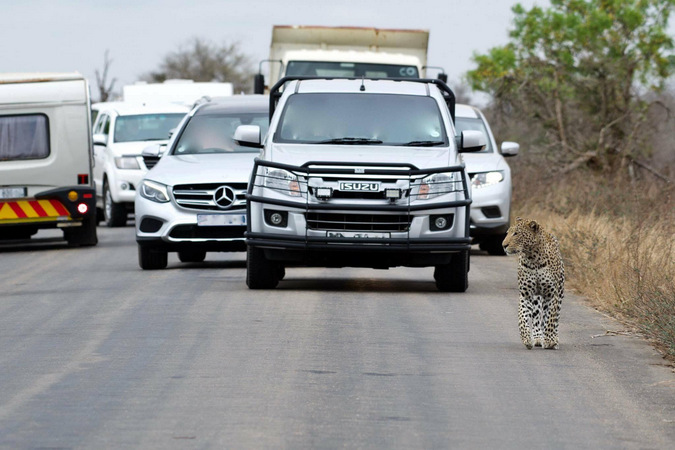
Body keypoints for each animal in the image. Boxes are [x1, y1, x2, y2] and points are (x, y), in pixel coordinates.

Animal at [502, 216, 564, 350]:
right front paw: (526, 339)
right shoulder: (526, 294)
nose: (503, 245)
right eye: (507, 233)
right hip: (536, 298)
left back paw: (554, 338)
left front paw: (549, 340)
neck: (533, 257)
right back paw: (537, 338)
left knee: (555, 317)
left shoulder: (552, 294)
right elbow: (522, 318)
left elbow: (551, 318)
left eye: (516, 233)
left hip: (560, 292)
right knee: (536, 318)